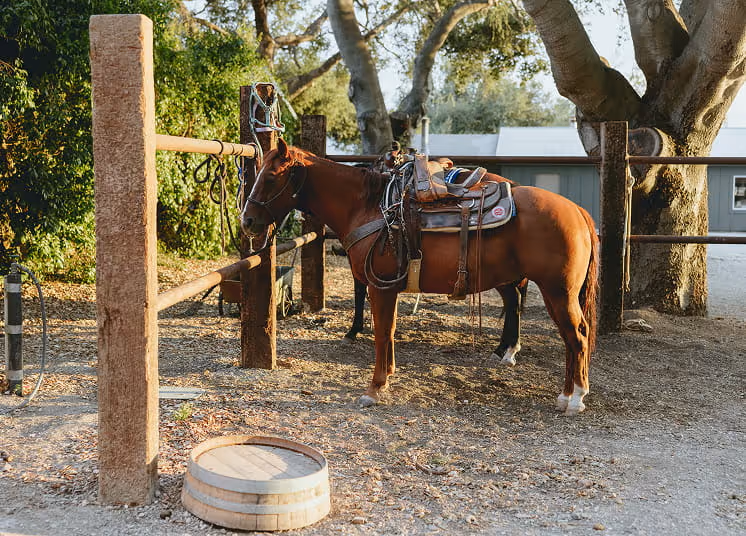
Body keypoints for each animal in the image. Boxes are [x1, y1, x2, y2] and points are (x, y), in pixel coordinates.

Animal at [241, 139, 599, 415]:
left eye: (271, 177)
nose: (247, 221)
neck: (370, 207)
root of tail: (579, 212)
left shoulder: (380, 286)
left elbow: (382, 333)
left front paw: (375, 388)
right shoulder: (387, 287)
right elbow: (389, 332)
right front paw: (387, 376)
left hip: (558, 291)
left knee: (577, 336)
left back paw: (575, 399)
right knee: (566, 336)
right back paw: (561, 392)